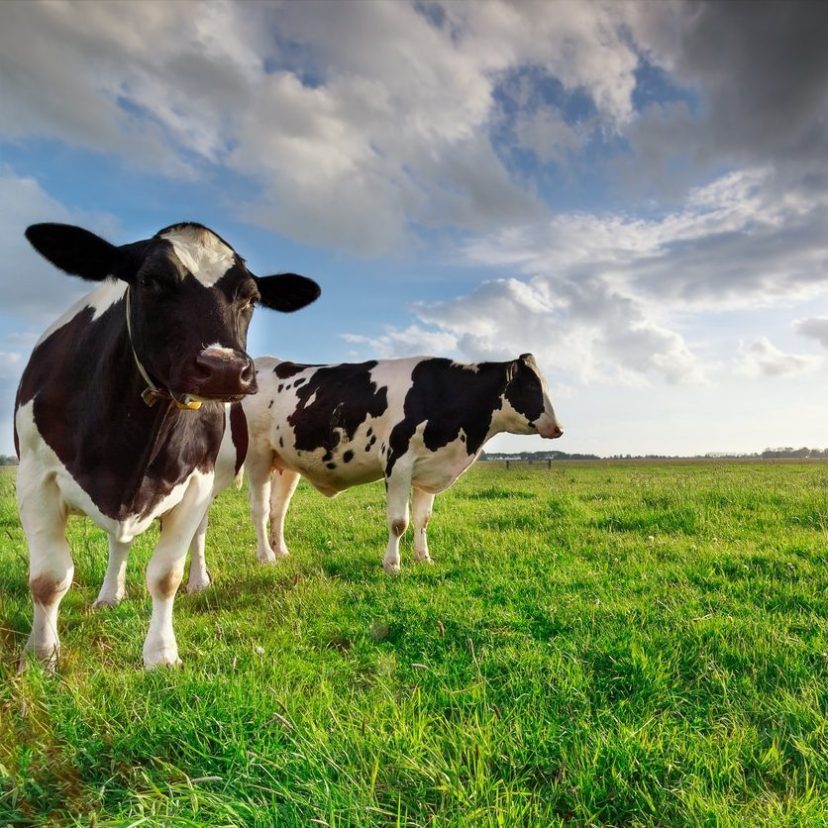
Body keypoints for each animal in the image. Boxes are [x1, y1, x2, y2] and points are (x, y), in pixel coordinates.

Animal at [14, 222, 319, 669]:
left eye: (251, 297)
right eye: (150, 281)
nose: (225, 369)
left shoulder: (196, 484)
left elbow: (165, 575)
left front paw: (160, 653)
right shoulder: (36, 478)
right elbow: (49, 578)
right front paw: (41, 655)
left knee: (195, 536)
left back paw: (199, 580)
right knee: (118, 543)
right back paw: (109, 595)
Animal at [224, 353, 563, 576]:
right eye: (531, 387)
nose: (558, 428)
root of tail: (265, 362)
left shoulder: (429, 469)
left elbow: (423, 519)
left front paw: (424, 558)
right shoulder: (398, 463)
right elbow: (399, 522)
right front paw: (392, 564)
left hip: (285, 463)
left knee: (278, 509)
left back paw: (281, 551)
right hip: (258, 456)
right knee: (260, 509)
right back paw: (266, 556)